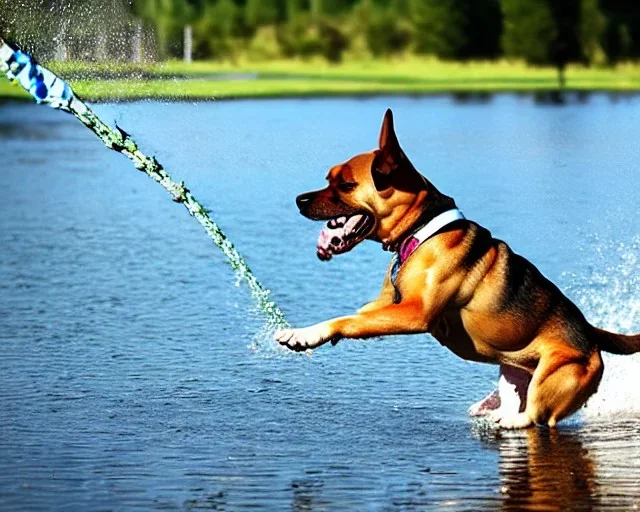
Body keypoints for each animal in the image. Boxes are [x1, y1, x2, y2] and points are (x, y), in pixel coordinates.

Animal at [276, 109, 640, 428]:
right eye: (328, 179)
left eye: (345, 185)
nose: (298, 200)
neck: (421, 230)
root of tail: (590, 334)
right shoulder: (385, 306)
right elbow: (356, 317)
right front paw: (306, 331)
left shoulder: (414, 312)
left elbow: (347, 320)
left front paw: (308, 334)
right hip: (515, 373)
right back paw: (492, 406)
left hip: (554, 380)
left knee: (535, 418)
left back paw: (511, 419)